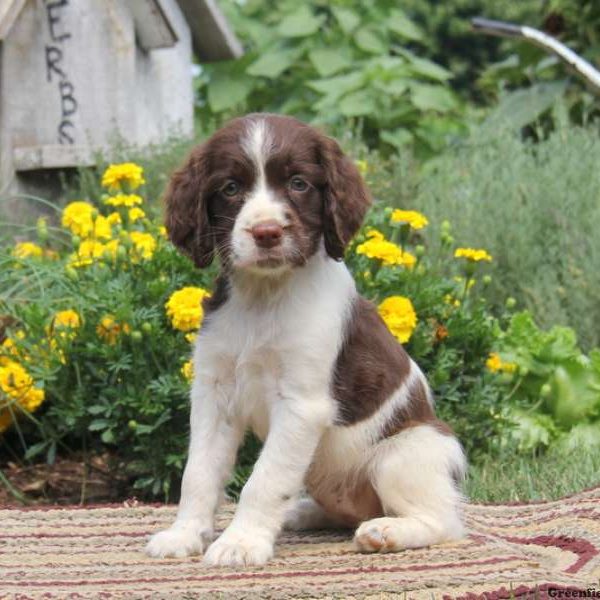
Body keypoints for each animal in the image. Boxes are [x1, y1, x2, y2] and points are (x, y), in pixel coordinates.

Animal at [146, 113, 468, 568]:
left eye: (298, 183)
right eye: (230, 188)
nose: (266, 232)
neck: (264, 297)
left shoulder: (301, 403)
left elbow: (263, 479)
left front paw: (241, 542)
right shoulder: (215, 391)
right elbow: (199, 472)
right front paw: (185, 535)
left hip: (409, 449)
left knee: (442, 520)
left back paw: (386, 531)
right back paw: (301, 512)